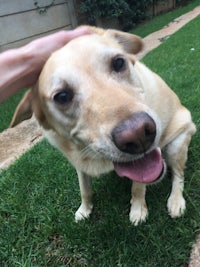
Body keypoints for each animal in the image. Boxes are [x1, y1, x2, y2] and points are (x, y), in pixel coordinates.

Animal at [10, 26, 196, 226]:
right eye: (62, 96)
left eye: (118, 62)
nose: (137, 135)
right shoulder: (78, 162)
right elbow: (84, 189)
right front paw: (84, 209)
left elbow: (138, 187)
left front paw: (138, 210)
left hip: (176, 146)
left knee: (179, 175)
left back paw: (176, 201)